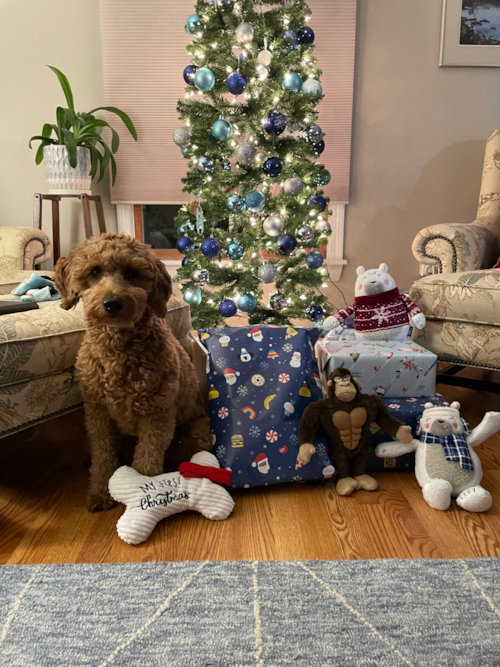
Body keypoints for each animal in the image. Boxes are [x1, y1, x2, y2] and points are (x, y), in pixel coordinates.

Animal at [54, 234, 211, 512]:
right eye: (95, 271)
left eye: (131, 273)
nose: (112, 303)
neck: (117, 349)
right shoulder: (97, 414)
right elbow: (103, 457)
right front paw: (100, 493)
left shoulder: (157, 416)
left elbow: (146, 462)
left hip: (197, 433)